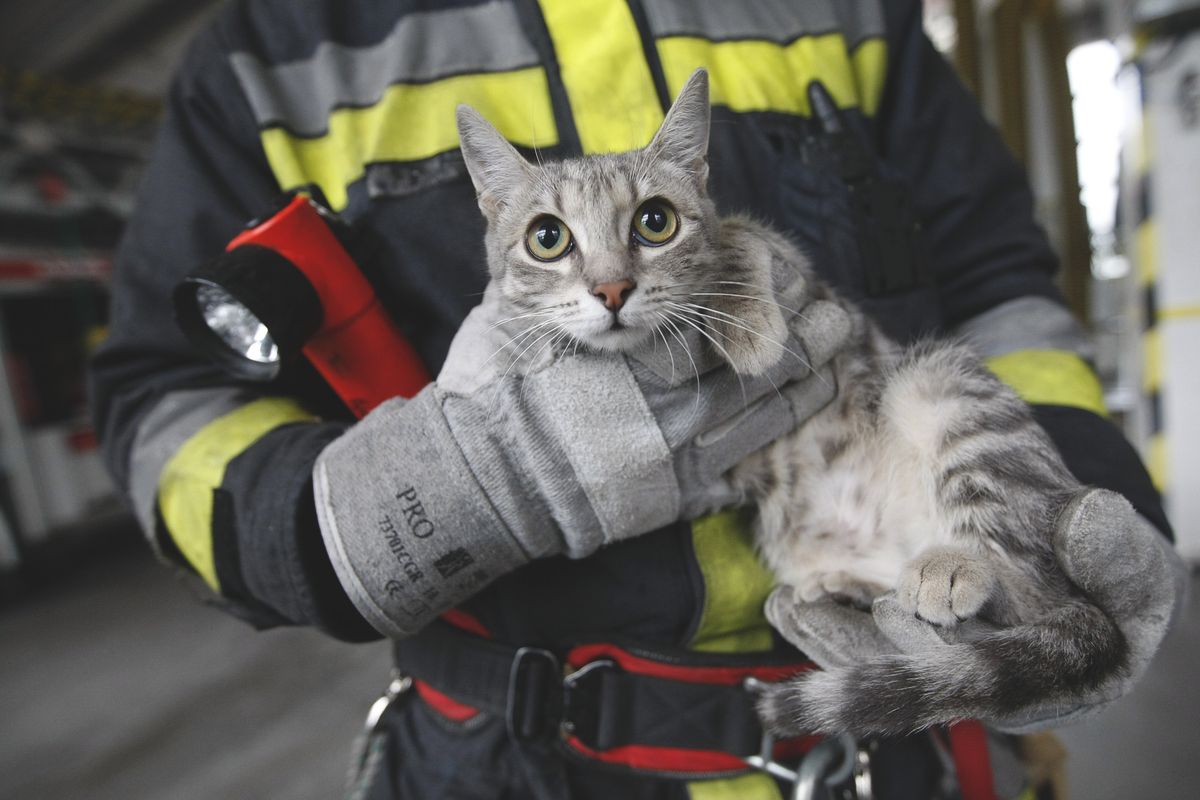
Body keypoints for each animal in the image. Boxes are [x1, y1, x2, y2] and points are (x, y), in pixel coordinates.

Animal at [453, 70, 1128, 738]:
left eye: (655, 221)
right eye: (547, 237)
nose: (612, 288)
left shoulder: (801, 270)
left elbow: (741, 238)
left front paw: (751, 328)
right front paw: (477, 374)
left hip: (947, 388)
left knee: (1017, 574)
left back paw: (950, 567)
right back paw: (836, 603)